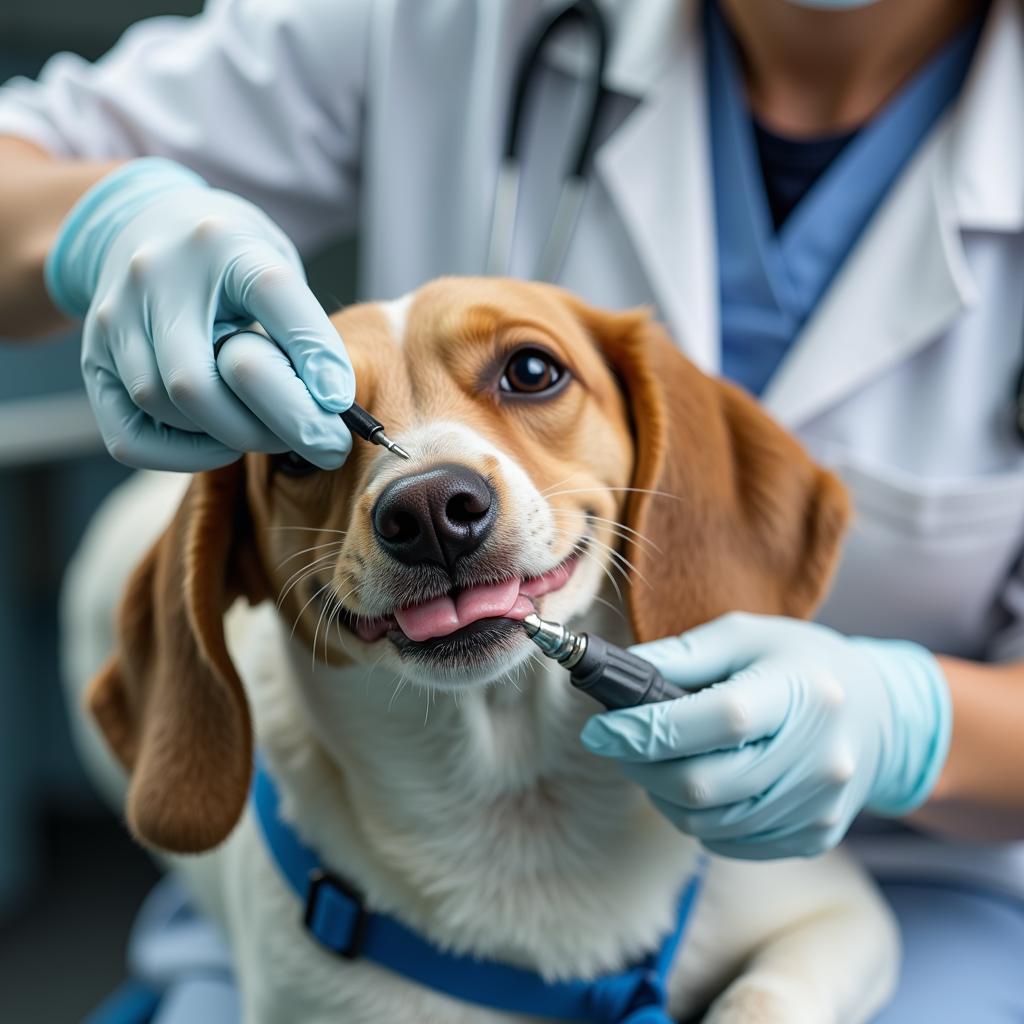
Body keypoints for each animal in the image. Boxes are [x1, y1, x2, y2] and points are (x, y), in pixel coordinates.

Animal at [79, 280, 897, 1024]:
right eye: (297, 453)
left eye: (532, 371)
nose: (430, 508)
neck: (518, 801)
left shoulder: (839, 918)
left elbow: (760, 998)